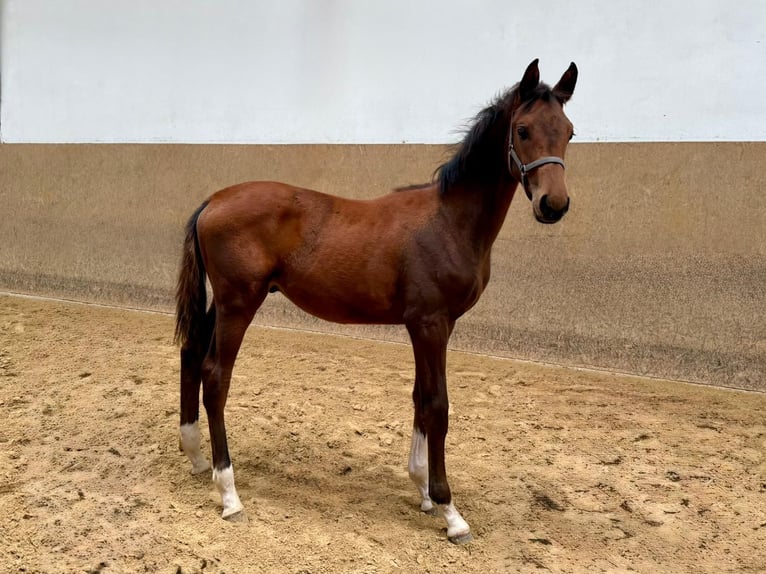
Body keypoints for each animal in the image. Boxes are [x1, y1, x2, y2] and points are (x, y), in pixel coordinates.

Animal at [174, 59, 577, 543]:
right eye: (522, 129)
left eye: (569, 131)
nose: (553, 204)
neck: (450, 221)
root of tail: (214, 199)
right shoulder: (430, 323)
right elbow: (437, 405)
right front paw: (450, 510)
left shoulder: (434, 325)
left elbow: (420, 397)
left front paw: (423, 491)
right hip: (239, 303)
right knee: (216, 375)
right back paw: (229, 494)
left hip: (223, 303)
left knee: (191, 353)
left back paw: (196, 458)